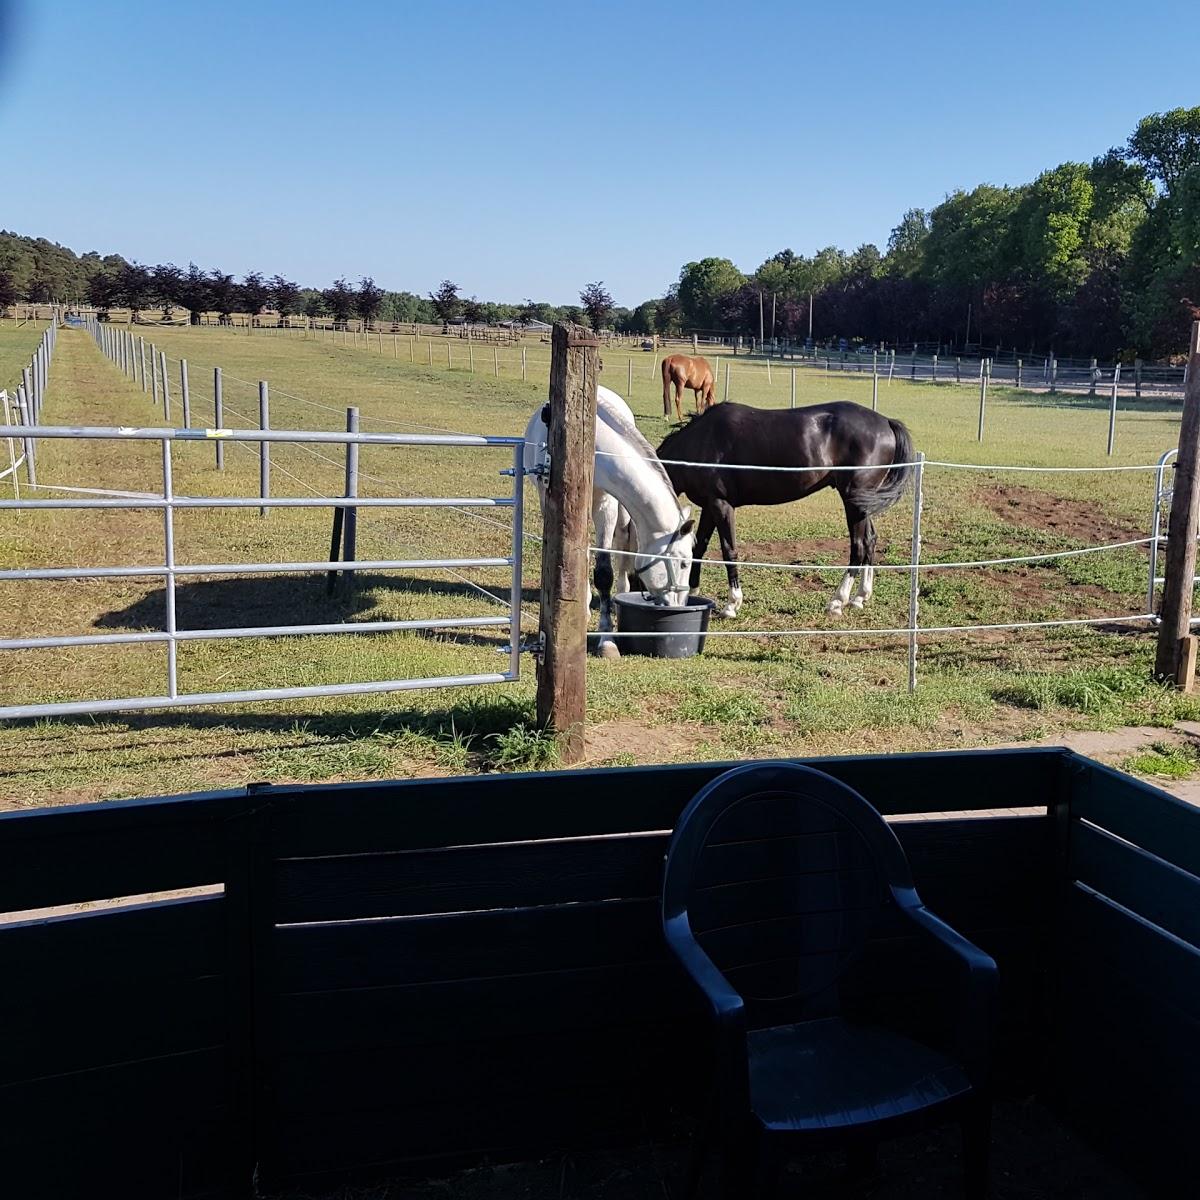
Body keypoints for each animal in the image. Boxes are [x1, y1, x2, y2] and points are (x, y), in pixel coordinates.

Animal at [523, 384, 696, 657]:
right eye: (683, 563)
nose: (680, 604)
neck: (595, 448)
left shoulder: (607, 506)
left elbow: (605, 571)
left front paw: (607, 638)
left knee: (622, 547)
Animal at [652, 405, 912, 619]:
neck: (700, 441)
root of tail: (886, 422)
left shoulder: (721, 504)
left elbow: (729, 551)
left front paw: (732, 604)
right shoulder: (709, 505)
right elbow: (700, 547)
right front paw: (692, 590)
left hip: (854, 502)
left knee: (858, 547)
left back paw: (837, 602)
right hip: (863, 504)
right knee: (870, 540)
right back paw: (860, 597)